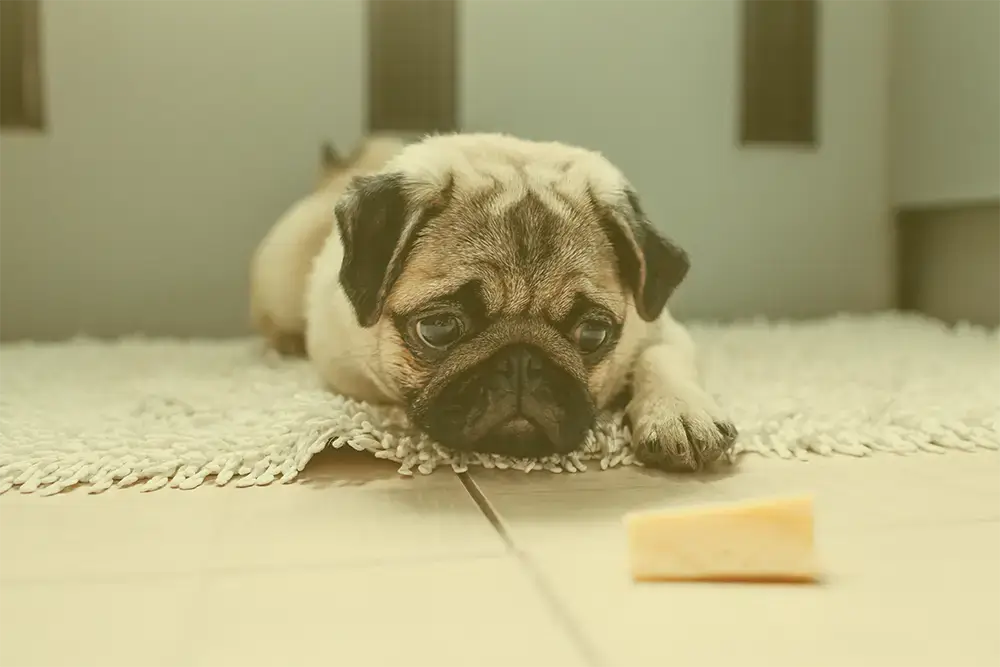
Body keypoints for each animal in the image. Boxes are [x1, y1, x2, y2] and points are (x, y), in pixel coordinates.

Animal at [250, 133, 736, 472]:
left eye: (593, 334)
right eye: (438, 329)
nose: (521, 361)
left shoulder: (659, 327)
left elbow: (661, 359)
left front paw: (680, 413)